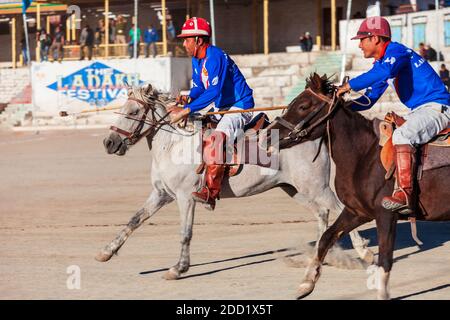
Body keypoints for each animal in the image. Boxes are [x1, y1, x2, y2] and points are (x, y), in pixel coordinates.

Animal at [97, 84, 372, 282]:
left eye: (134, 112)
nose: (109, 143)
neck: (174, 144)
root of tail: (311, 134)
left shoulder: (186, 198)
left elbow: (185, 233)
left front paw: (178, 268)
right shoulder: (161, 194)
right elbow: (134, 220)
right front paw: (106, 252)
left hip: (317, 187)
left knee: (339, 210)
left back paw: (363, 252)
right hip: (295, 189)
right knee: (322, 213)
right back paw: (318, 255)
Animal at [268, 74, 450, 298]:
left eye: (303, 106)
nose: (267, 135)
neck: (364, 155)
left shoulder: (386, 215)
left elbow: (385, 259)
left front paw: (382, 292)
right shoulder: (357, 211)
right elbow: (326, 238)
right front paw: (306, 283)